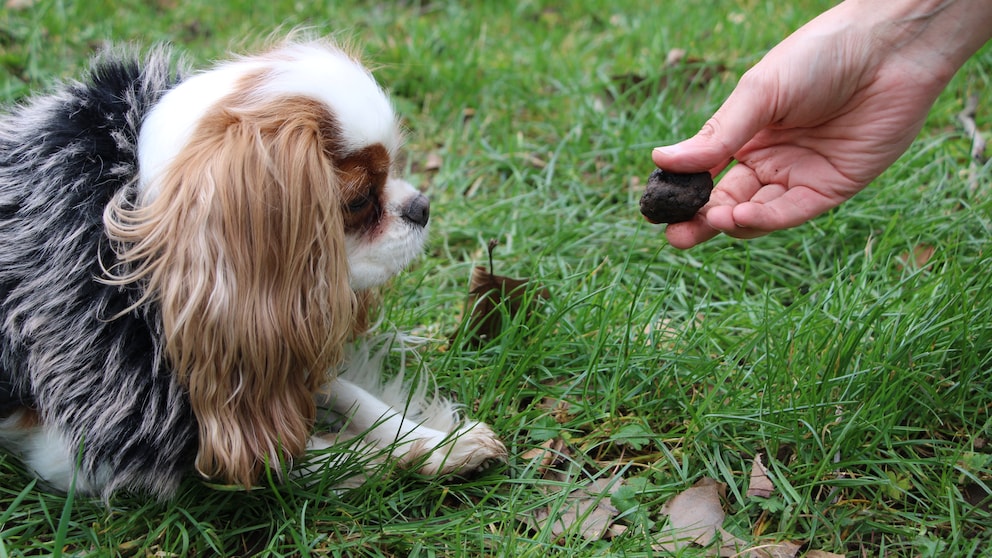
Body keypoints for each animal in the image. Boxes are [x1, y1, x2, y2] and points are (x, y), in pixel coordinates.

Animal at [0, 37, 504, 500]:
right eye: (359, 200)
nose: (422, 207)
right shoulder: (82, 456)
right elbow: (295, 457)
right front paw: (392, 458)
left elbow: (351, 397)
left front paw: (442, 443)